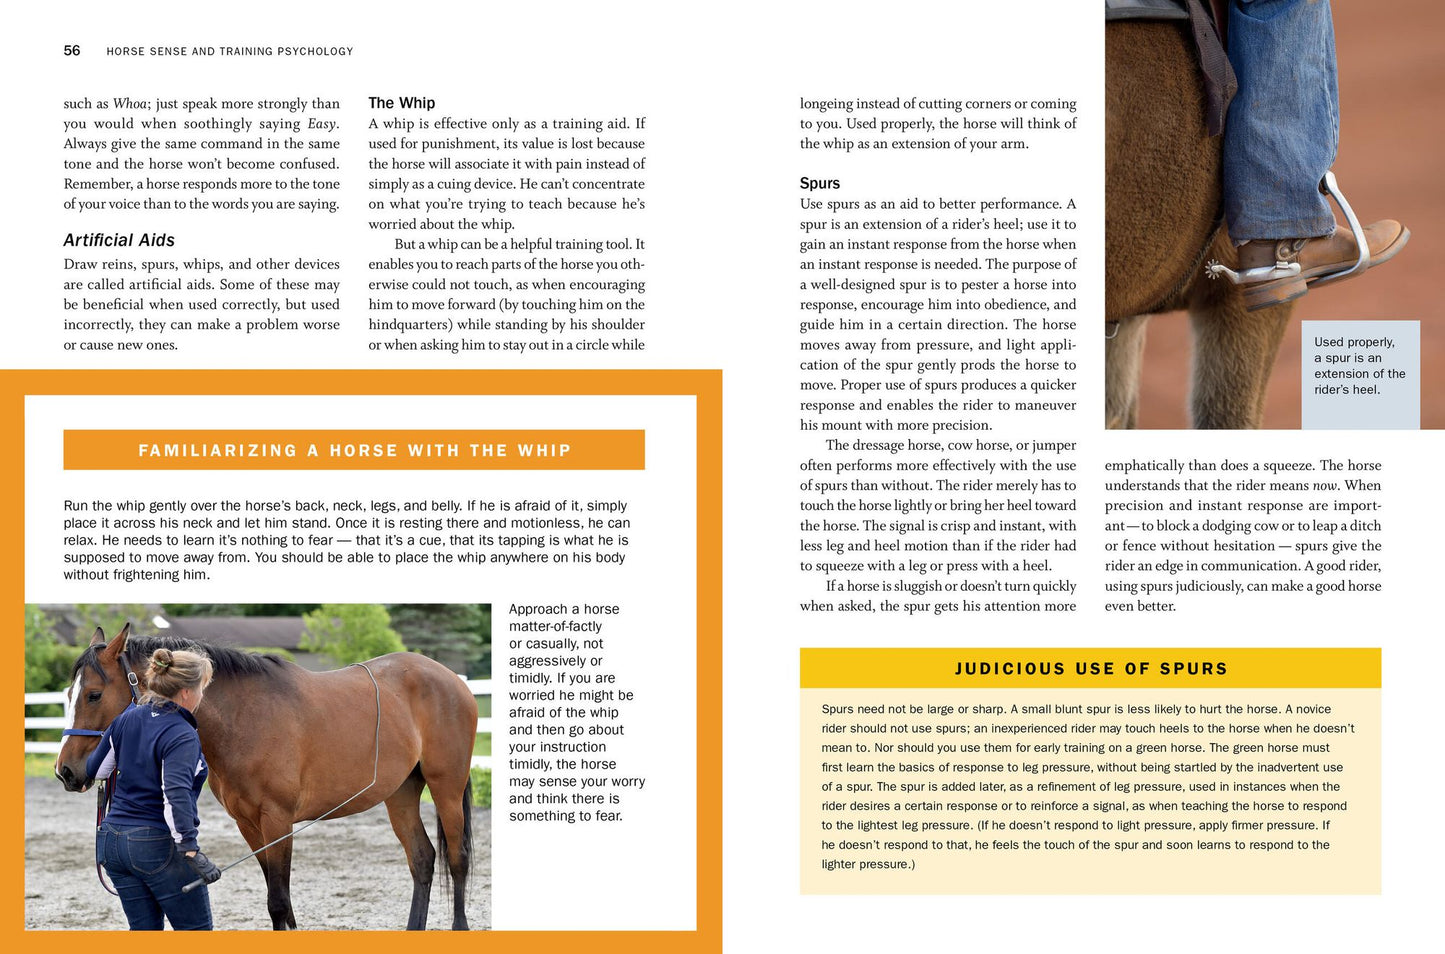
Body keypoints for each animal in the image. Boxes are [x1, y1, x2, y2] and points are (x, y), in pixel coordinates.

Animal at [54, 624, 478, 931]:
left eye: (93, 694)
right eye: (68, 695)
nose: (67, 771)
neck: (245, 718)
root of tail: (451, 679)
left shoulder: (277, 821)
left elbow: (278, 900)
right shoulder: (249, 824)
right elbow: (281, 901)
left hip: (446, 787)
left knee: (457, 860)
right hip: (401, 792)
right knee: (422, 860)